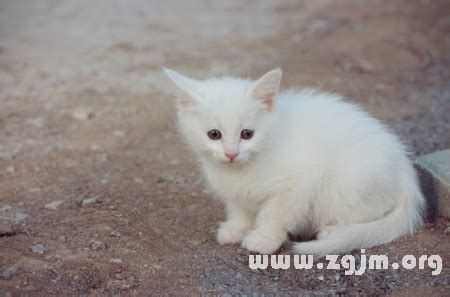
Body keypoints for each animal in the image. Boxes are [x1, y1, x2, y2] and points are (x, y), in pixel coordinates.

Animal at [163, 67, 424, 256]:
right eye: (214, 134)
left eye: (247, 134)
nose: (231, 154)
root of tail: (404, 166)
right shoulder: (235, 192)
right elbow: (241, 208)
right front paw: (237, 228)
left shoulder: (298, 183)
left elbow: (275, 214)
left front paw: (264, 239)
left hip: (348, 184)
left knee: (371, 211)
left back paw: (334, 230)